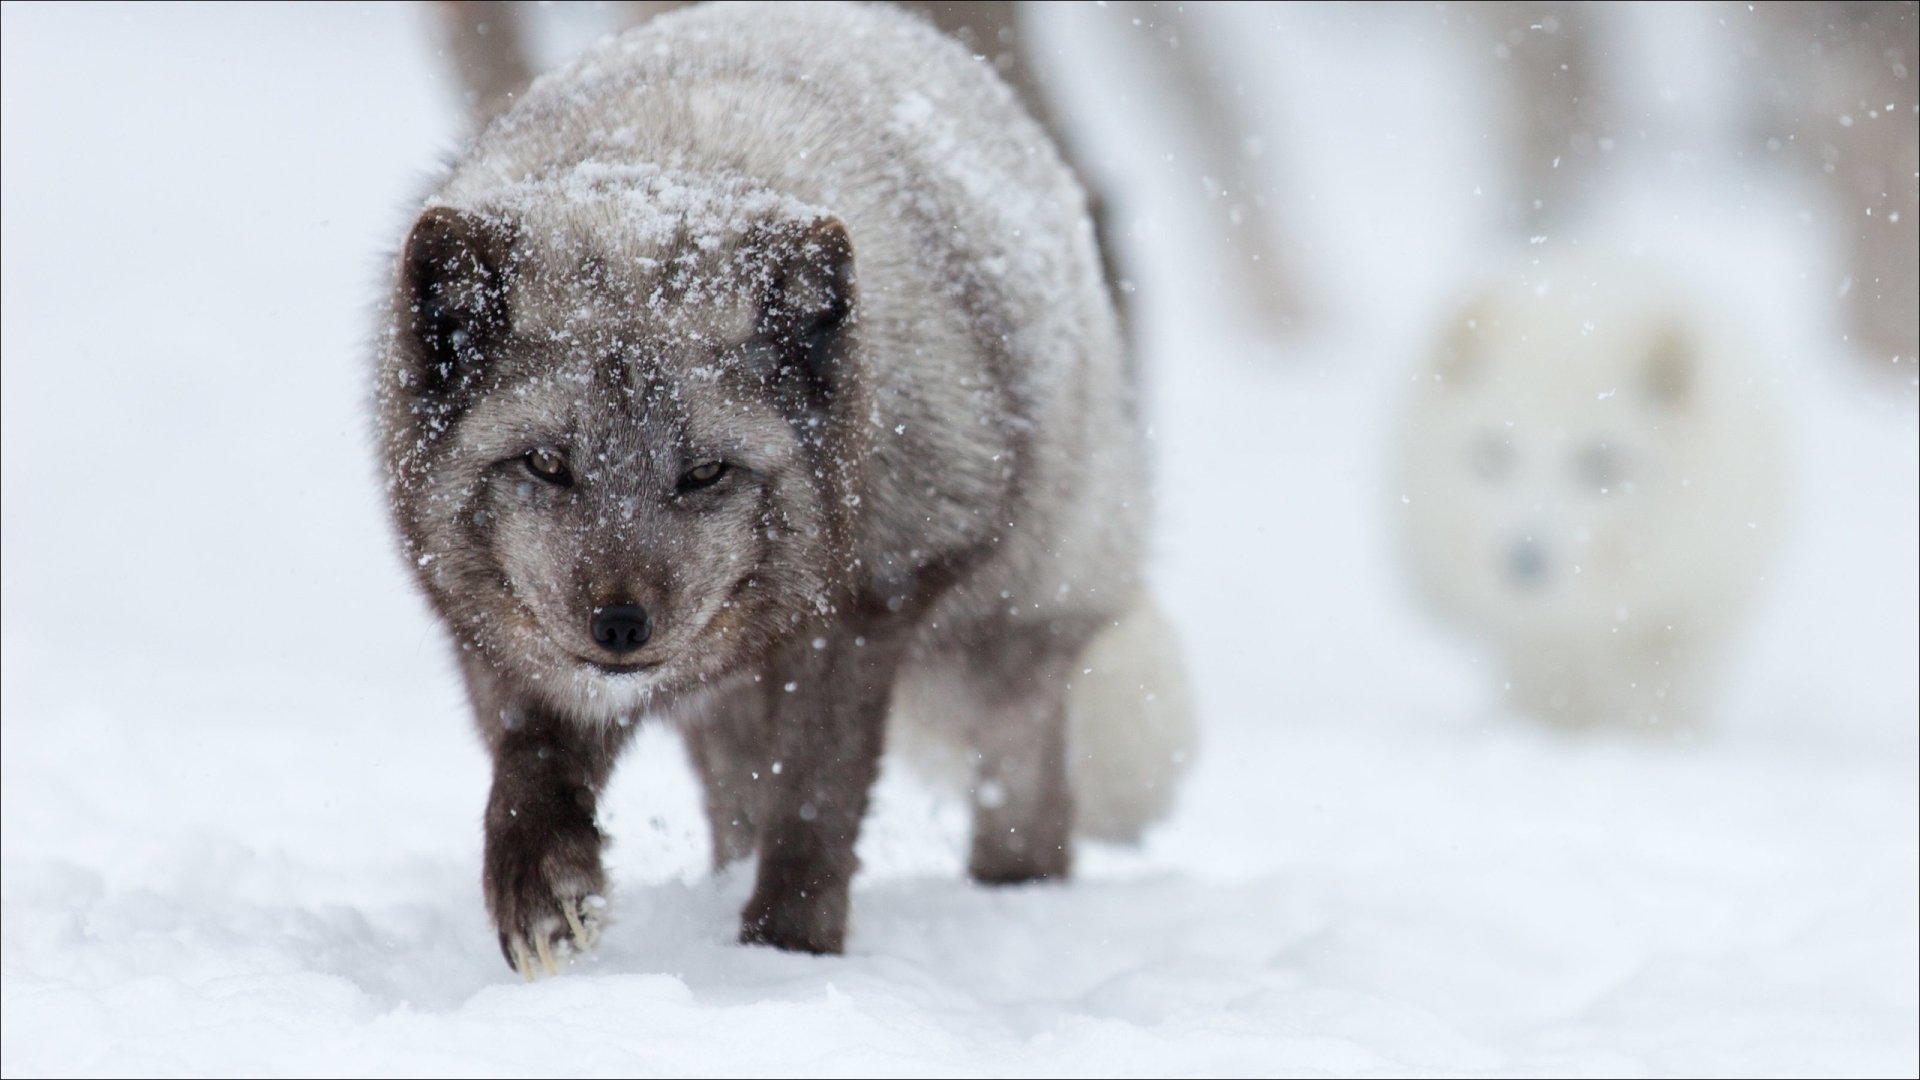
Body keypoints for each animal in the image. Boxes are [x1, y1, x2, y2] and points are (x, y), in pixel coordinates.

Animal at [374, 1, 1191, 978]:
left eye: (705, 472)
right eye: (544, 464)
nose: (621, 627)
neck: (665, 159)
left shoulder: (867, 610)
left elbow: (812, 807)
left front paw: (786, 955)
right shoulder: (502, 639)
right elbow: (530, 763)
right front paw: (542, 892)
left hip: (1008, 633)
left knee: (1030, 797)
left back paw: (1014, 899)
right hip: (729, 709)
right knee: (734, 802)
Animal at [1396, 257, 1786, 729]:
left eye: (1599, 463)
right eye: (1494, 454)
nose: (1525, 560)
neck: (1582, 620)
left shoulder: (1685, 611)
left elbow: (1659, 696)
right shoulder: (1530, 639)